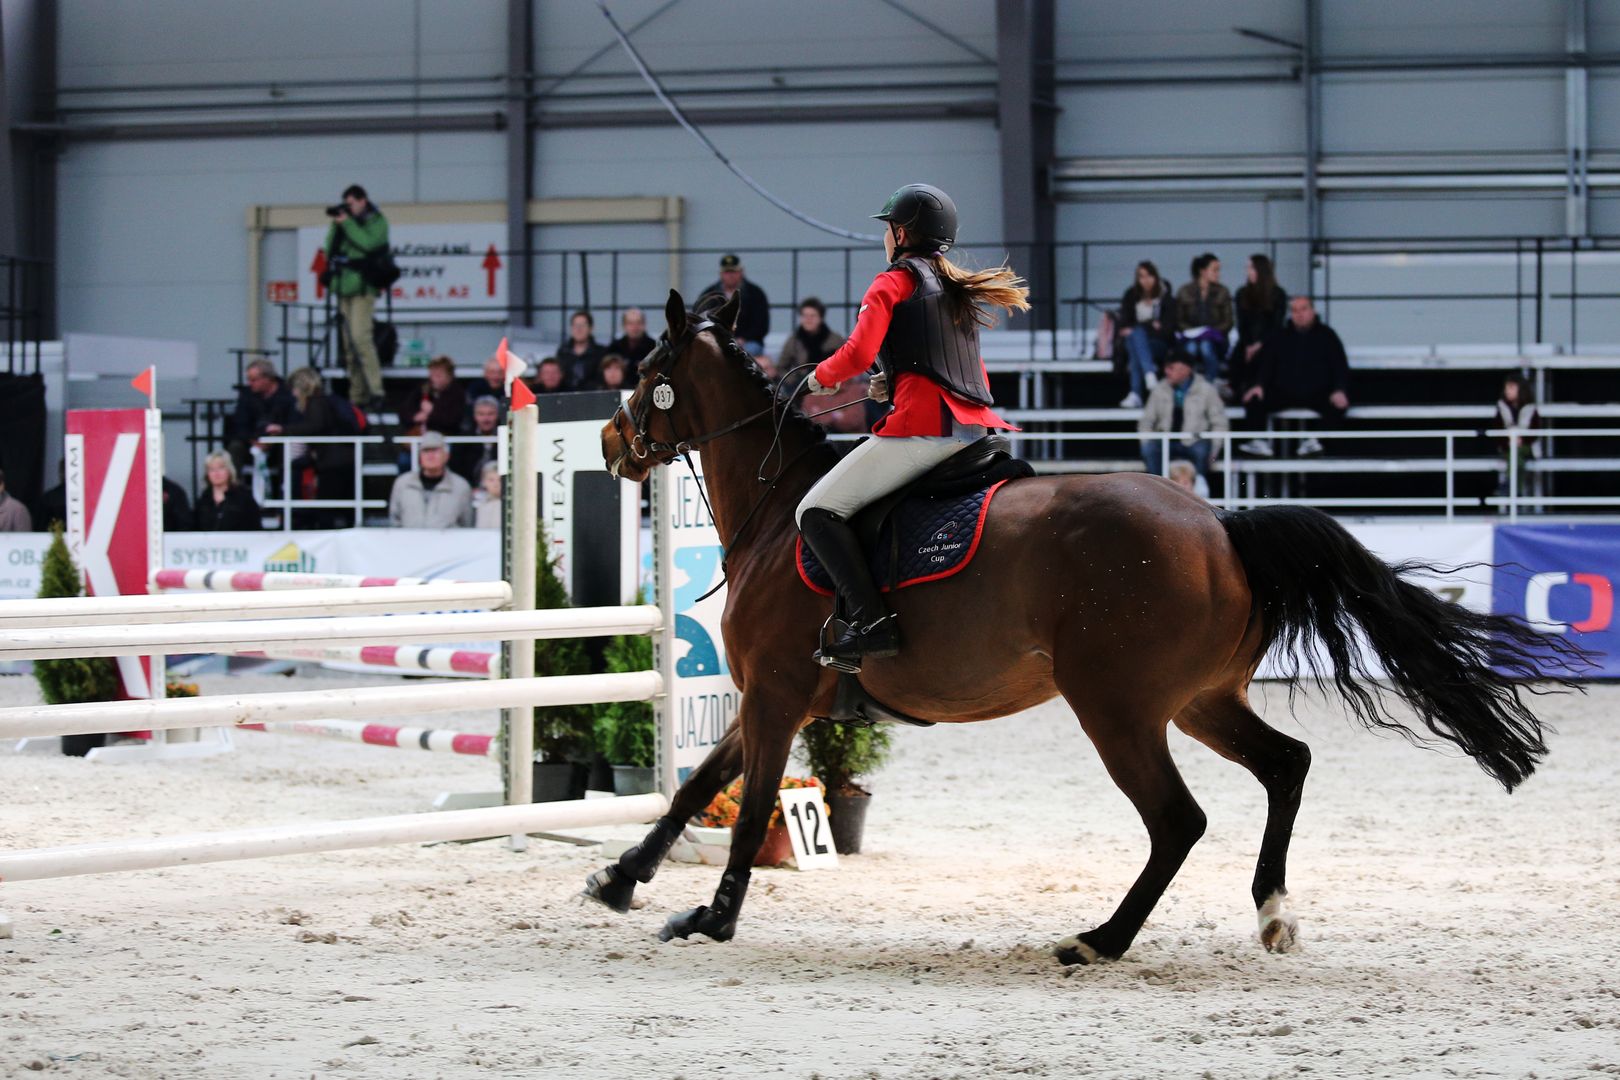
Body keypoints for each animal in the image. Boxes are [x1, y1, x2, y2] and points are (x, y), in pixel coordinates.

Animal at [589, 286, 1574, 965]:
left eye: (645, 377)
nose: (607, 443)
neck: (776, 508)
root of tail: (1222, 525)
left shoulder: (779, 691)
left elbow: (751, 805)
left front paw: (713, 917)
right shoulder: (774, 694)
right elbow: (695, 788)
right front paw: (619, 878)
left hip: (1116, 707)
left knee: (1178, 819)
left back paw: (1101, 938)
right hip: (1197, 700)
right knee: (1285, 766)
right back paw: (1271, 910)